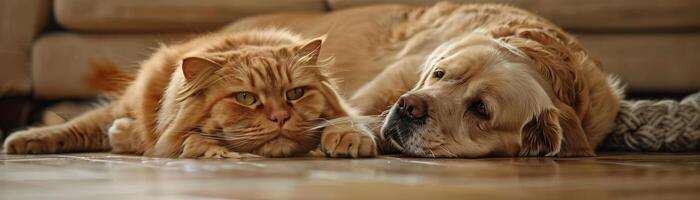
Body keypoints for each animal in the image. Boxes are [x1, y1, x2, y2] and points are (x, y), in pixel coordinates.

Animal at [2, 28, 378, 159]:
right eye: (246, 98)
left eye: (296, 93)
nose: (281, 117)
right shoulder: (175, 133)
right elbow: (190, 140)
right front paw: (218, 152)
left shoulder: (342, 109)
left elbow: (344, 120)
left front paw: (350, 139)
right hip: (127, 102)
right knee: (82, 125)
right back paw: (22, 140)